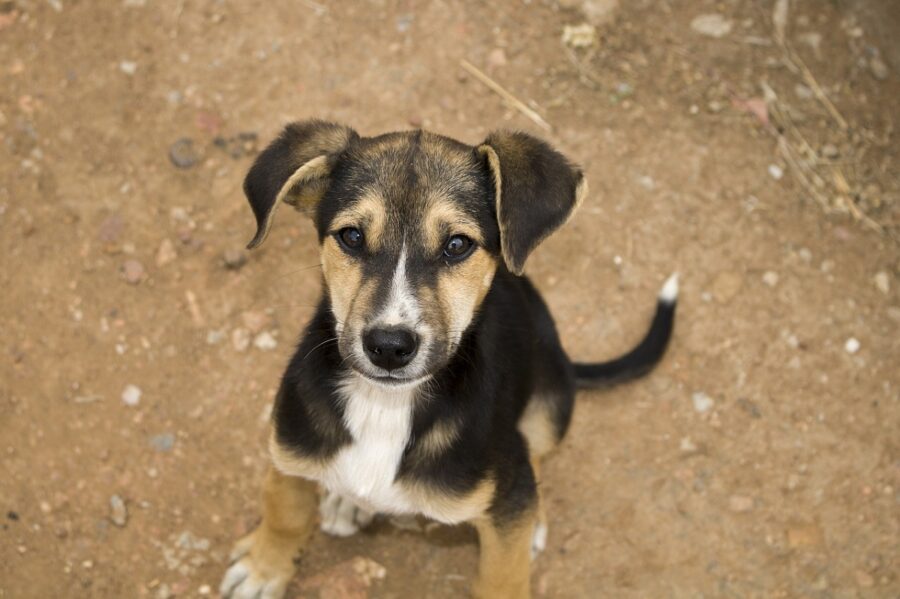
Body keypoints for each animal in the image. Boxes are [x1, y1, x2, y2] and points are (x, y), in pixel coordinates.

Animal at [221, 122, 680, 599]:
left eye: (458, 244)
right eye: (351, 236)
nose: (389, 345)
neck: (386, 406)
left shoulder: (509, 497)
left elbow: (503, 577)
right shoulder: (289, 445)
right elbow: (283, 509)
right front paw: (264, 568)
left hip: (551, 401)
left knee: (536, 451)